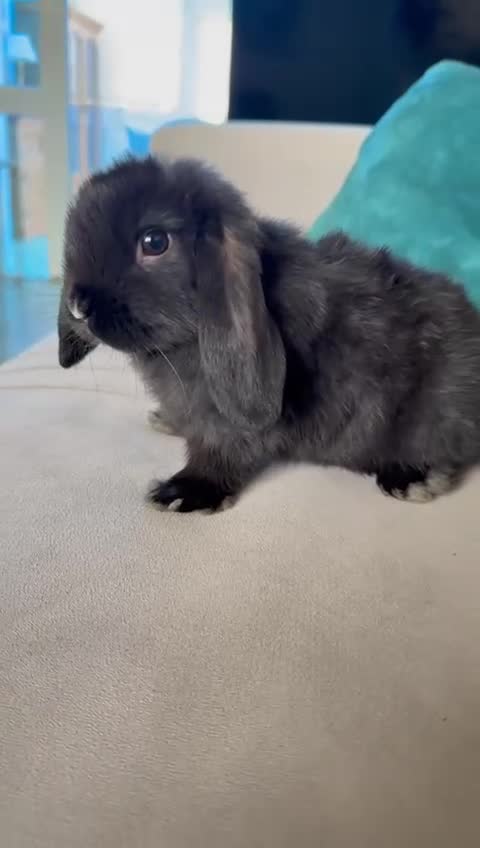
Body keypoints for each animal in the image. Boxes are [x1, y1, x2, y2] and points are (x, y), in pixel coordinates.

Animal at [58, 155, 480, 513]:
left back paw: (411, 478)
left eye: (154, 242)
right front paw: (167, 421)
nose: (78, 305)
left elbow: (220, 452)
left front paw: (185, 492)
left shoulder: (226, 422)